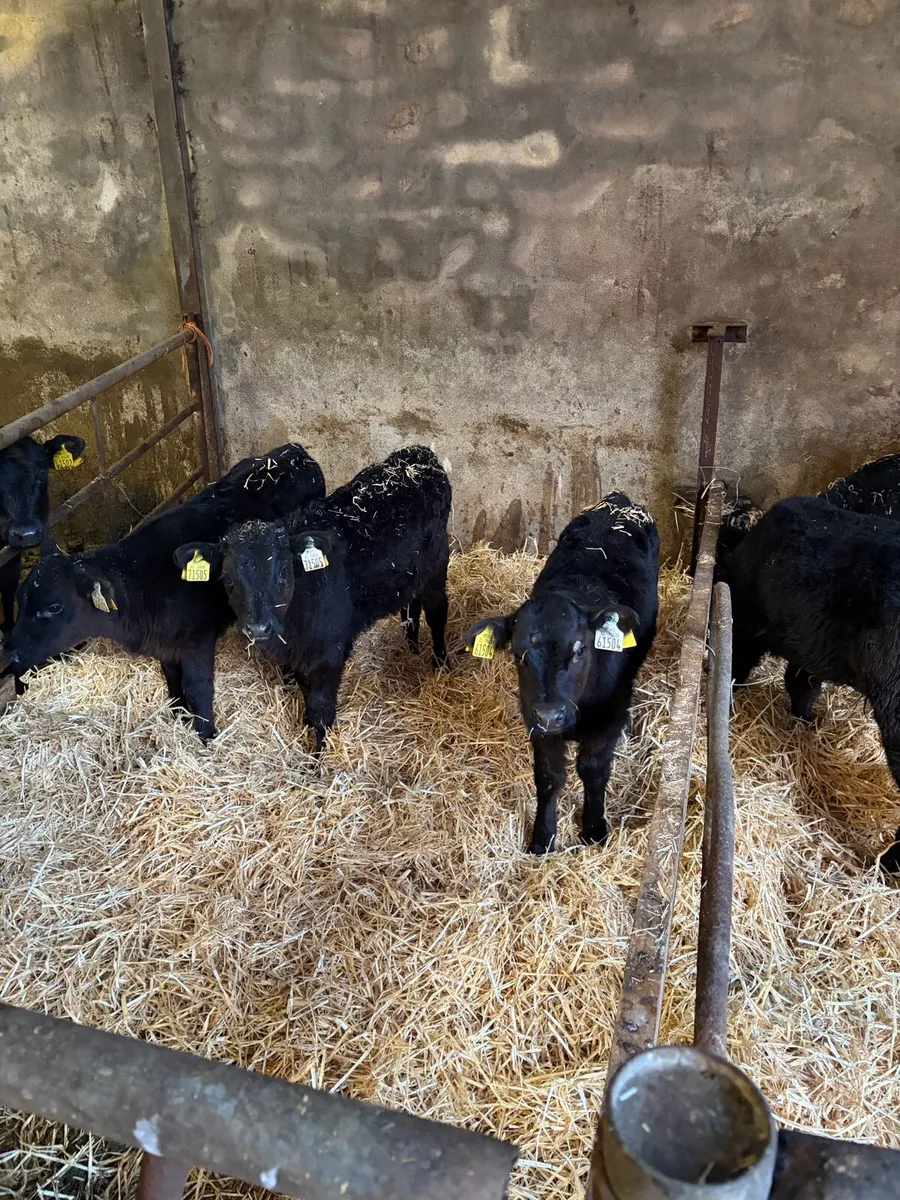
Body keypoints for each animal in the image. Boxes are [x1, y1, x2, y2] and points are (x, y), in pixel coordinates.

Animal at [5, 443, 326, 739]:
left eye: (54, 607)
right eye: (19, 599)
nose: (10, 651)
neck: (144, 584)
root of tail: (293, 450)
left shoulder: (197, 639)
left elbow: (198, 687)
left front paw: (206, 734)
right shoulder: (165, 645)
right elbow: (172, 680)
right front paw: (178, 715)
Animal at [173, 445, 451, 754]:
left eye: (283, 573)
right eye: (228, 579)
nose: (258, 628)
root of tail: (417, 454)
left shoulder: (330, 651)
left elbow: (320, 706)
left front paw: (317, 754)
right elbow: (304, 690)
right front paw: (306, 723)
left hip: (437, 565)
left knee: (437, 611)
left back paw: (440, 663)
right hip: (410, 575)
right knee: (410, 606)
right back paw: (412, 646)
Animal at [465, 494, 660, 854]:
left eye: (580, 649)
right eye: (518, 654)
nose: (552, 714)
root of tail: (618, 500)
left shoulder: (607, 719)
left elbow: (593, 770)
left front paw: (594, 829)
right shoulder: (535, 721)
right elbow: (548, 776)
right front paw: (542, 838)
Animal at [722, 495, 900, 872]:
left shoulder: (749, 624)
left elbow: (740, 663)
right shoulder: (808, 644)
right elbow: (800, 683)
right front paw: (803, 722)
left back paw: (890, 862)